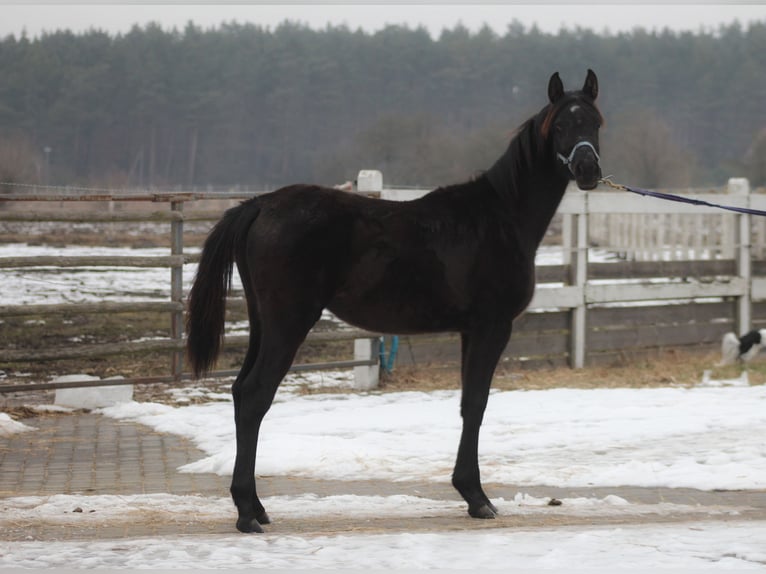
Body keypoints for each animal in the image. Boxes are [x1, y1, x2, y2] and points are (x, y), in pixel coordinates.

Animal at [188, 70, 608, 532]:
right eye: (562, 124)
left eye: (595, 123)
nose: (588, 170)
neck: (501, 217)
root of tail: (260, 205)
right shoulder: (492, 327)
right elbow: (477, 404)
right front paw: (477, 497)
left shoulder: (470, 331)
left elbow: (467, 404)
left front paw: (469, 492)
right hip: (288, 323)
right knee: (255, 396)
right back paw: (247, 513)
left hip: (263, 323)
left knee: (240, 391)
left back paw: (256, 506)